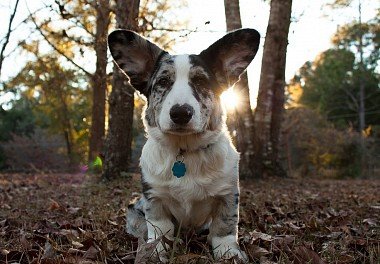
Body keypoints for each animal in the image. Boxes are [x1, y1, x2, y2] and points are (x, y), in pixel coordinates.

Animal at [108, 27, 260, 260]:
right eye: (162, 82)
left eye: (201, 82)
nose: (180, 113)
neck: (184, 150)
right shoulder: (154, 198)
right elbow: (160, 228)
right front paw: (157, 251)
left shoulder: (227, 194)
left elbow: (225, 227)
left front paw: (229, 253)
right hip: (134, 210)